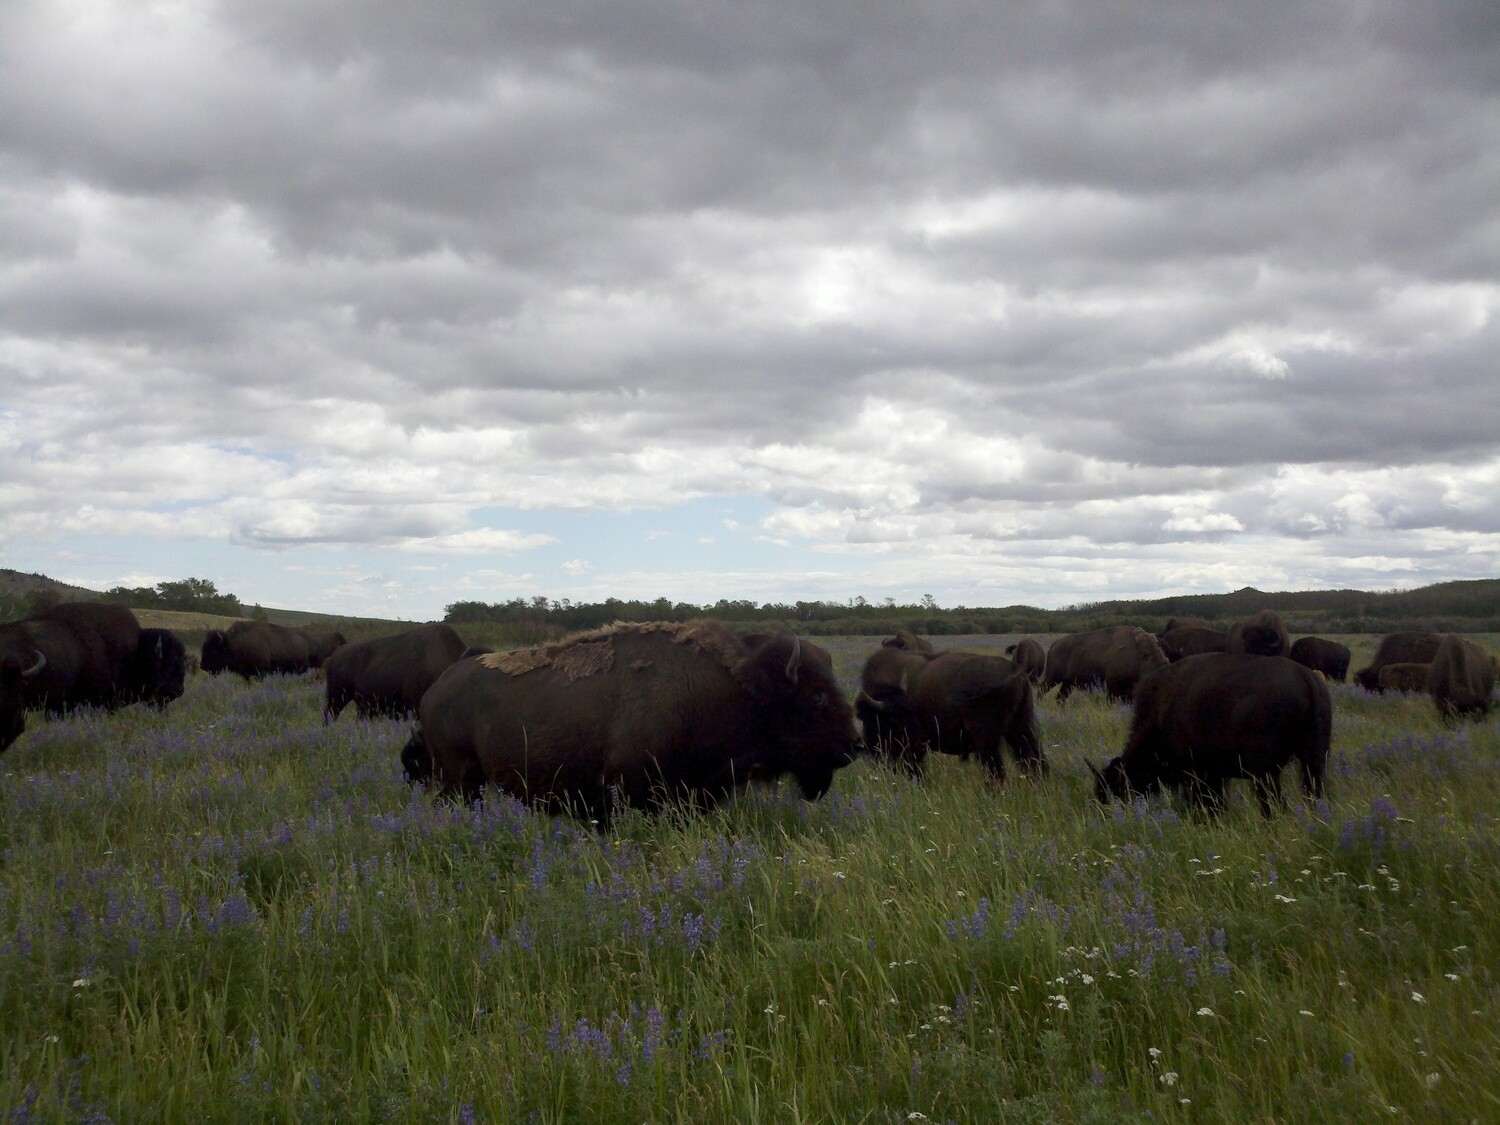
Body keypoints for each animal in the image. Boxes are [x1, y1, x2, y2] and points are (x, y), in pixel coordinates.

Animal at [1090, 653, 1330, 817]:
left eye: (1116, 787)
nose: (1106, 811)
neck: (1159, 714)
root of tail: (1307, 678)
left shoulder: (1200, 774)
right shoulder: (1215, 775)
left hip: (1266, 772)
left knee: (1272, 801)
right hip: (1313, 761)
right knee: (1313, 791)